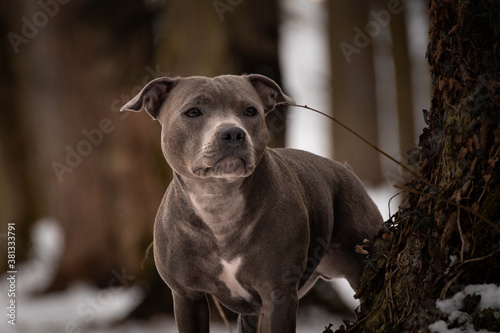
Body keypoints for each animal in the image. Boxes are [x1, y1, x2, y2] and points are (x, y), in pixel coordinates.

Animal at [122, 74, 382, 330]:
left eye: (250, 111)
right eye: (193, 112)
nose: (232, 133)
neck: (218, 203)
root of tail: (344, 169)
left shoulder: (278, 295)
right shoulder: (187, 296)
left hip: (363, 263)